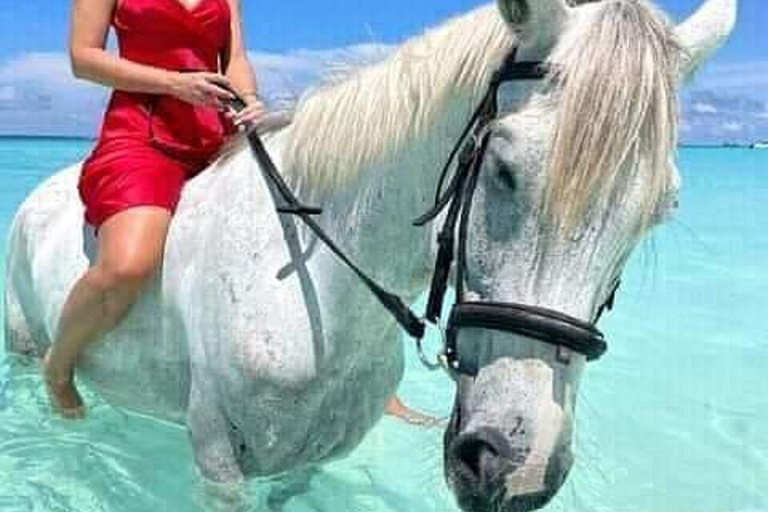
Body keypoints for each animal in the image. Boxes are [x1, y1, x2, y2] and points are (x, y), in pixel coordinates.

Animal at [4, 0, 736, 510]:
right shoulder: (217, 462)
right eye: (503, 169)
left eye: (663, 206)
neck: (319, 288)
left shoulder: (310, 456)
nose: (515, 465)